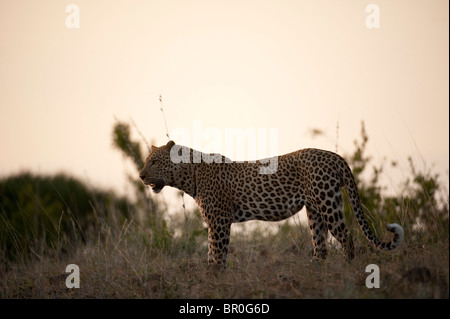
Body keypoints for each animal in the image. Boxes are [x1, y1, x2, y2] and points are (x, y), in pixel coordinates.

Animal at [139, 141, 402, 268]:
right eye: (146, 161)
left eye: (154, 162)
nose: (141, 176)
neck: (188, 177)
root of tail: (336, 156)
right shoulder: (213, 223)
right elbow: (210, 253)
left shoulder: (220, 222)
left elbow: (218, 253)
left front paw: (216, 279)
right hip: (315, 210)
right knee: (321, 245)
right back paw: (312, 270)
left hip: (327, 203)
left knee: (346, 237)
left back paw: (347, 268)